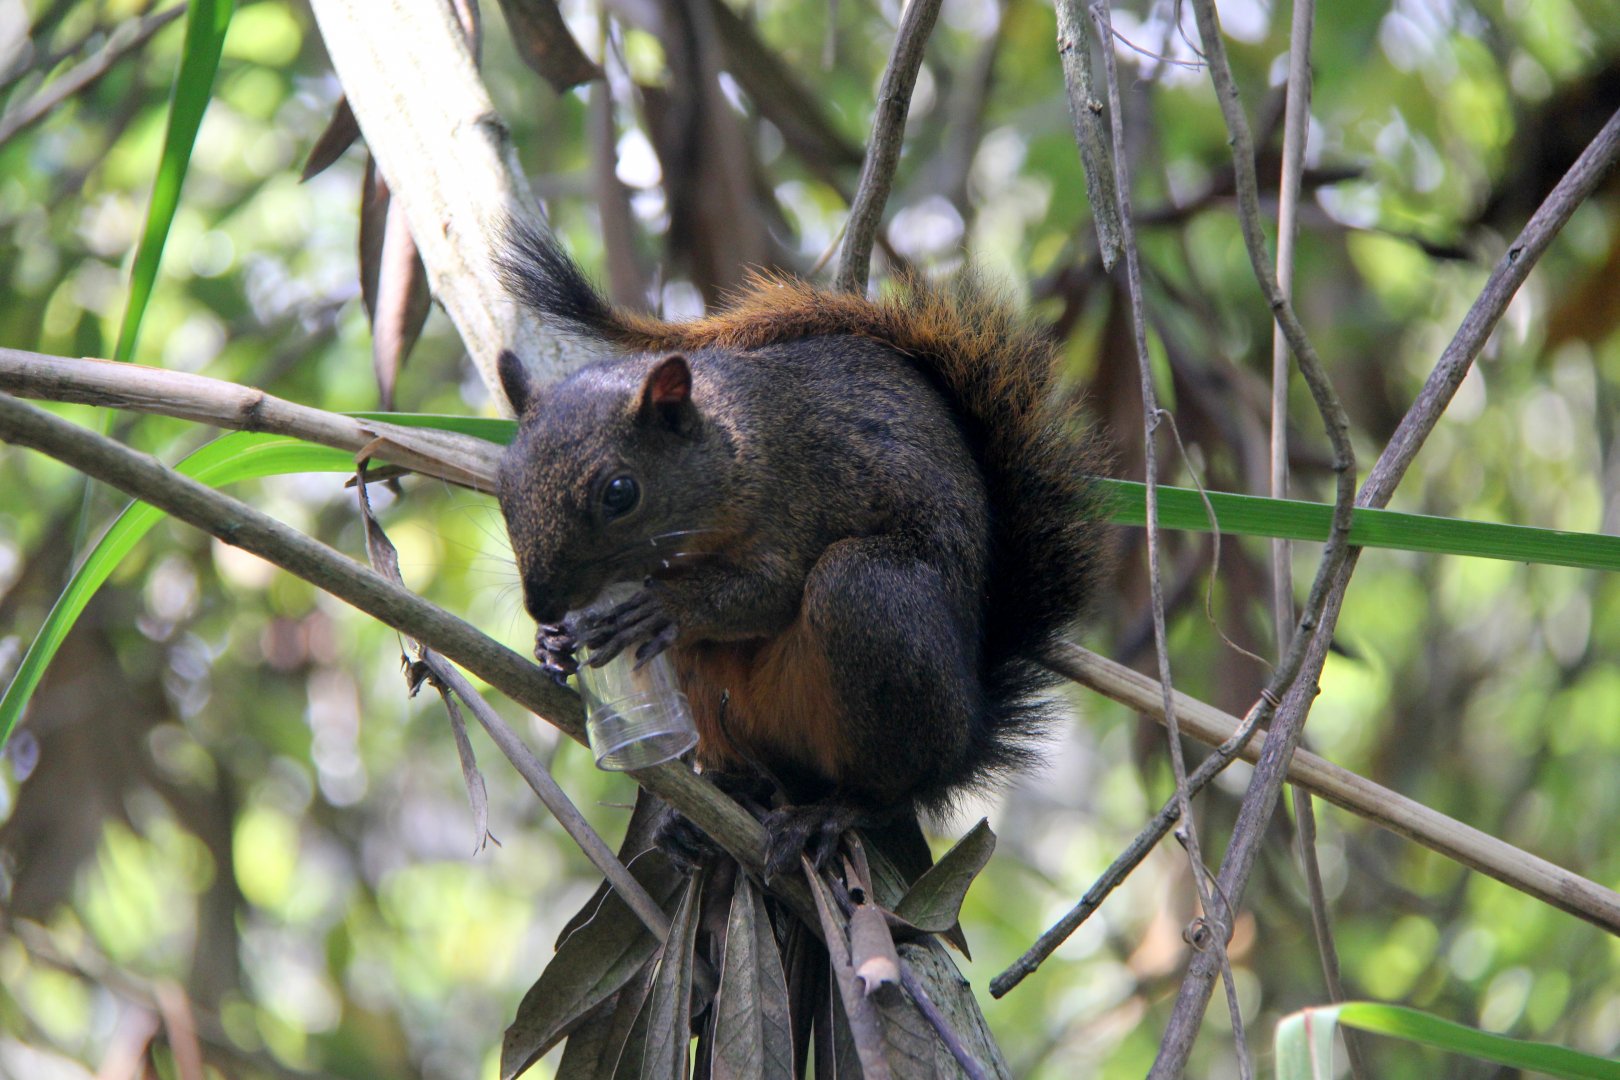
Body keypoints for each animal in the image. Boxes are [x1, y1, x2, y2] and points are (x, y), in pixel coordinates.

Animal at [494, 225, 1106, 874]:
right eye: (504, 483)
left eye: (620, 493)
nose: (541, 604)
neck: (736, 437)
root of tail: (969, 736)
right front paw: (551, 644)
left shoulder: (800, 496)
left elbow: (770, 591)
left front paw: (666, 606)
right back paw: (704, 810)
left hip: (870, 602)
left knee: (891, 787)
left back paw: (833, 812)